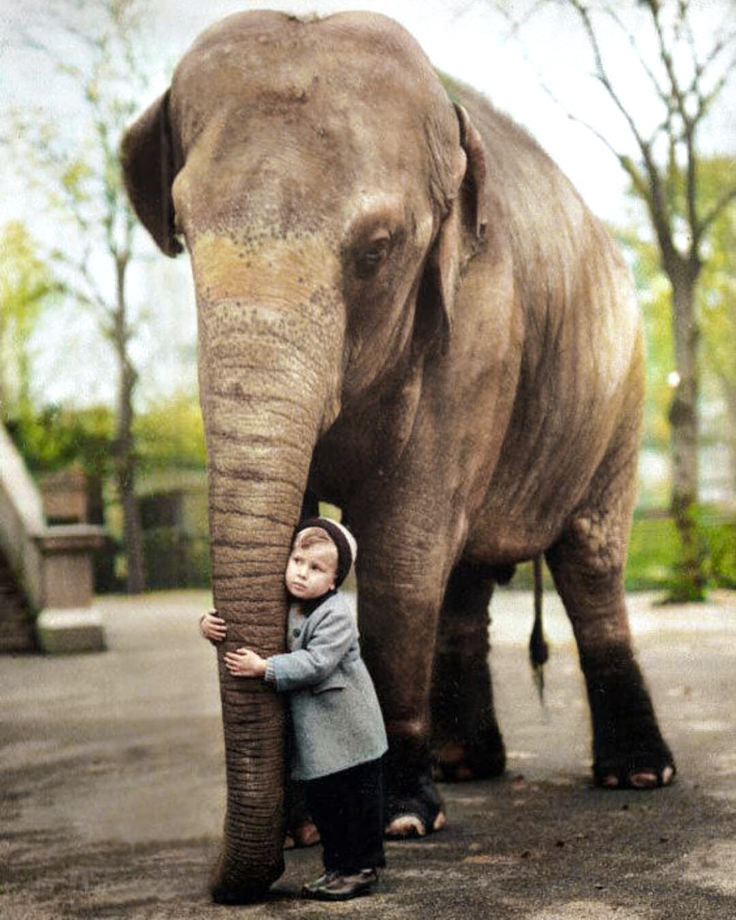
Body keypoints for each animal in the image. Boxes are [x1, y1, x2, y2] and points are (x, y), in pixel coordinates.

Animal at [122, 10, 680, 904]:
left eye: (378, 249)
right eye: (184, 228)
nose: (233, 879)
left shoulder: (479, 324)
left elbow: (402, 550)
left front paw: (400, 821)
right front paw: (313, 827)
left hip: (621, 394)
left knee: (590, 562)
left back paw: (635, 777)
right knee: (468, 579)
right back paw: (465, 767)